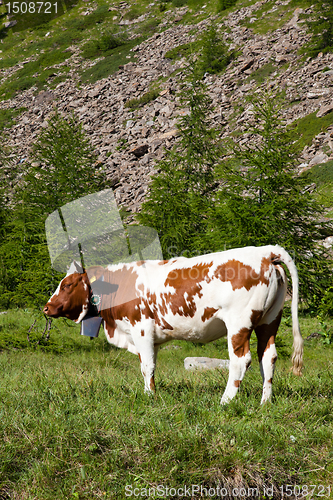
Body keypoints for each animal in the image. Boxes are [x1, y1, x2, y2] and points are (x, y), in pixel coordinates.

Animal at [42, 245, 302, 406]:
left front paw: (149, 397)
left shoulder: (141, 329)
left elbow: (147, 366)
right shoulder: (149, 338)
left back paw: (226, 400)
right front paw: (151, 392)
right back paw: (265, 402)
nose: (46, 307)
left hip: (239, 323)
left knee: (241, 360)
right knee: (267, 357)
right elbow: (149, 366)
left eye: (67, 285)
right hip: (270, 320)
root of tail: (265, 252)